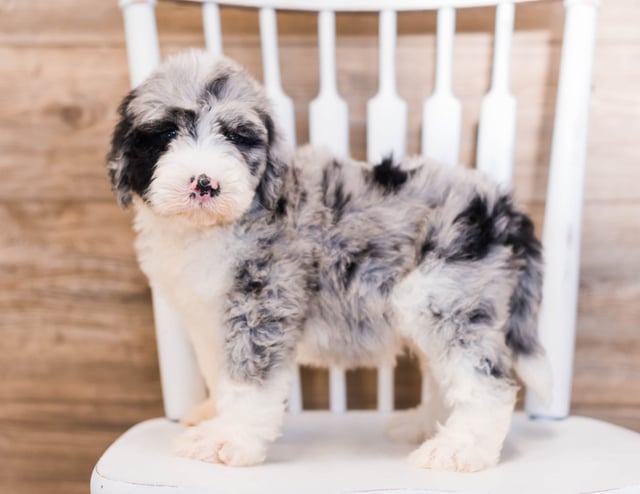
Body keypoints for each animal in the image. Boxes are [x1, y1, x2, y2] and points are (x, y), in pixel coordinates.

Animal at [109, 50, 552, 470]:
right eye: (167, 132)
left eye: (236, 137)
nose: (205, 184)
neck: (207, 229)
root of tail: (506, 208)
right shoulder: (208, 318)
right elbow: (221, 375)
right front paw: (211, 417)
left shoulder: (263, 303)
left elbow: (248, 381)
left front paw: (227, 439)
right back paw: (425, 426)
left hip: (445, 298)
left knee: (487, 383)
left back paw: (458, 450)